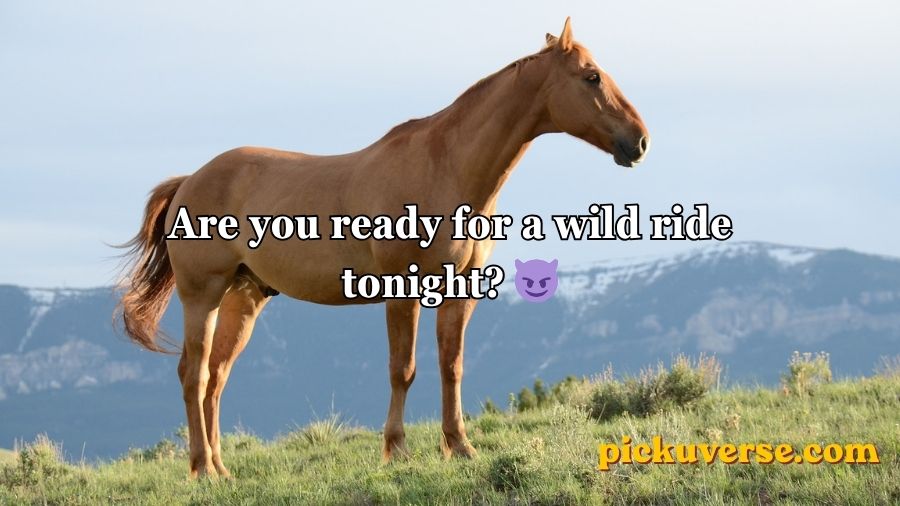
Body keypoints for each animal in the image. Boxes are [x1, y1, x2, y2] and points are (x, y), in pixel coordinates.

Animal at [117, 18, 649, 478]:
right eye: (591, 76)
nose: (640, 141)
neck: (445, 169)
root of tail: (190, 180)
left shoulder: (460, 292)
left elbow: (451, 366)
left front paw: (460, 446)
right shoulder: (401, 291)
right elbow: (403, 369)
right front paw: (397, 449)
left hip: (243, 298)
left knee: (216, 378)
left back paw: (221, 469)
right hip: (202, 295)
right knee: (194, 375)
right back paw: (202, 469)